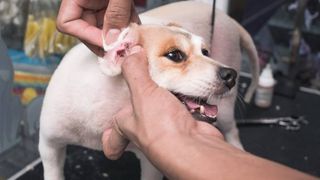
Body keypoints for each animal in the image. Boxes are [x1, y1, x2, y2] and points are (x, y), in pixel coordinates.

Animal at [39, 1, 260, 180]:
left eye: (205, 52)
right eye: (175, 55)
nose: (231, 75)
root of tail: (228, 19)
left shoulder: (151, 162)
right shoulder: (49, 146)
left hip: (226, 109)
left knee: (232, 130)